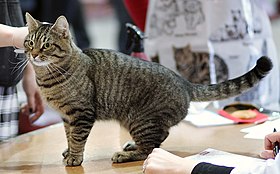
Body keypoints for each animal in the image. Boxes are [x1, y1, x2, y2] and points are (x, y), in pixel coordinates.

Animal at [24, 13, 274, 166]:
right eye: (29, 42)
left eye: (46, 45)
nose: (33, 54)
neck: (48, 78)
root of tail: (184, 82)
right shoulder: (67, 117)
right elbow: (69, 136)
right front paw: (69, 151)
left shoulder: (81, 113)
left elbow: (77, 138)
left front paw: (74, 157)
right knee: (157, 140)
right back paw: (131, 146)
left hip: (139, 119)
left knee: (151, 146)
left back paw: (125, 154)